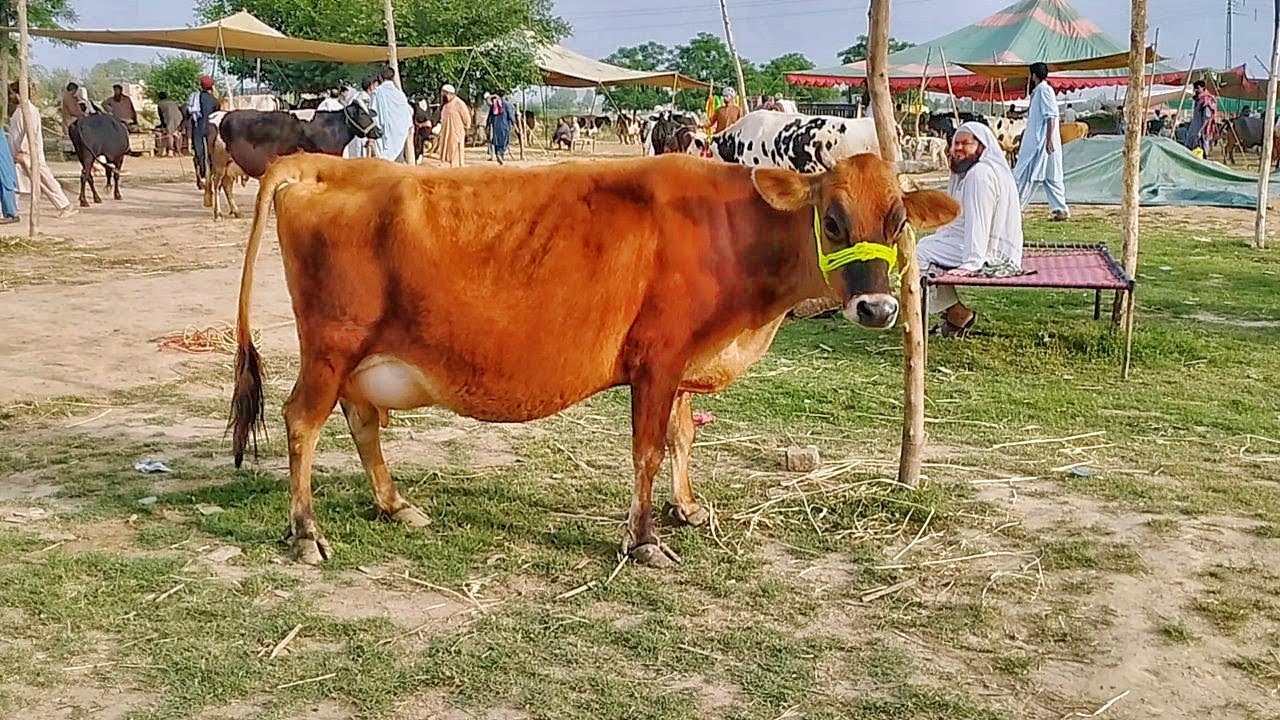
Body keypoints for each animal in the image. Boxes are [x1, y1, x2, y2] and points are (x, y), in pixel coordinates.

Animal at [226, 152, 959, 567]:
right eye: (832, 219)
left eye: (898, 220)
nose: (878, 309)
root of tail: (327, 163)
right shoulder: (658, 359)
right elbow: (648, 451)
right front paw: (643, 540)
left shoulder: (681, 366)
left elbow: (683, 437)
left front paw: (687, 509)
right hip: (331, 345)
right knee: (301, 422)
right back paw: (306, 532)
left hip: (360, 357)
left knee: (362, 422)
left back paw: (394, 504)